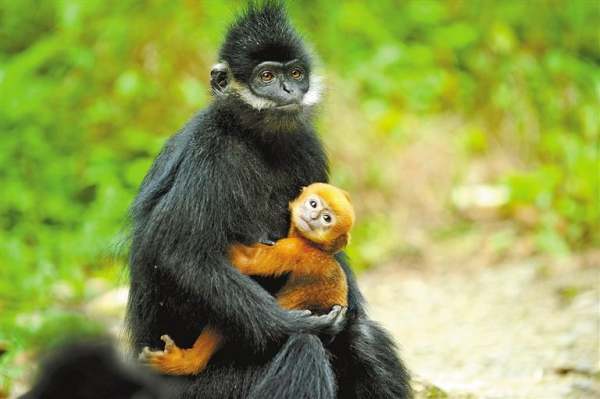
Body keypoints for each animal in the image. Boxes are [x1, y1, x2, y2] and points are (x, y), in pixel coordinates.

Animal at [138, 183, 354, 376]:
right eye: (313, 204)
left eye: (327, 219)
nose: (313, 217)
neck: (313, 245)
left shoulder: (294, 249)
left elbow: (247, 262)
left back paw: (187, 362)